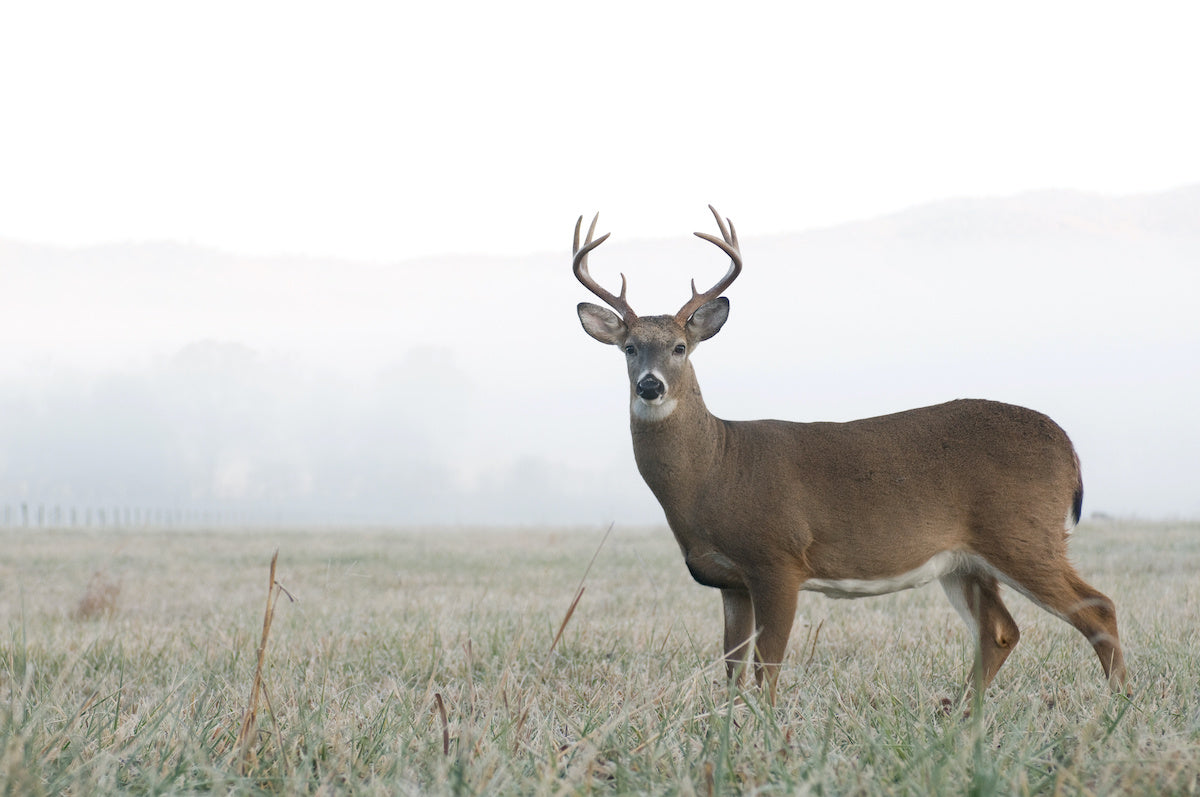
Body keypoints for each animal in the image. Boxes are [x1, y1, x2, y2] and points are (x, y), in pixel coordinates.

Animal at [572, 206, 1127, 704]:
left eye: (681, 347)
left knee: (1098, 608)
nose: (650, 386)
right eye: (629, 348)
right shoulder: (729, 580)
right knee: (1001, 631)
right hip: (965, 560)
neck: (714, 470)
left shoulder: (778, 559)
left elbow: (767, 669)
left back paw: (1119, 705)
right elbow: (731, 670)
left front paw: (765, 731)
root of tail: (1069, 448)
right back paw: (962, 717)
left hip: (1023, 534)